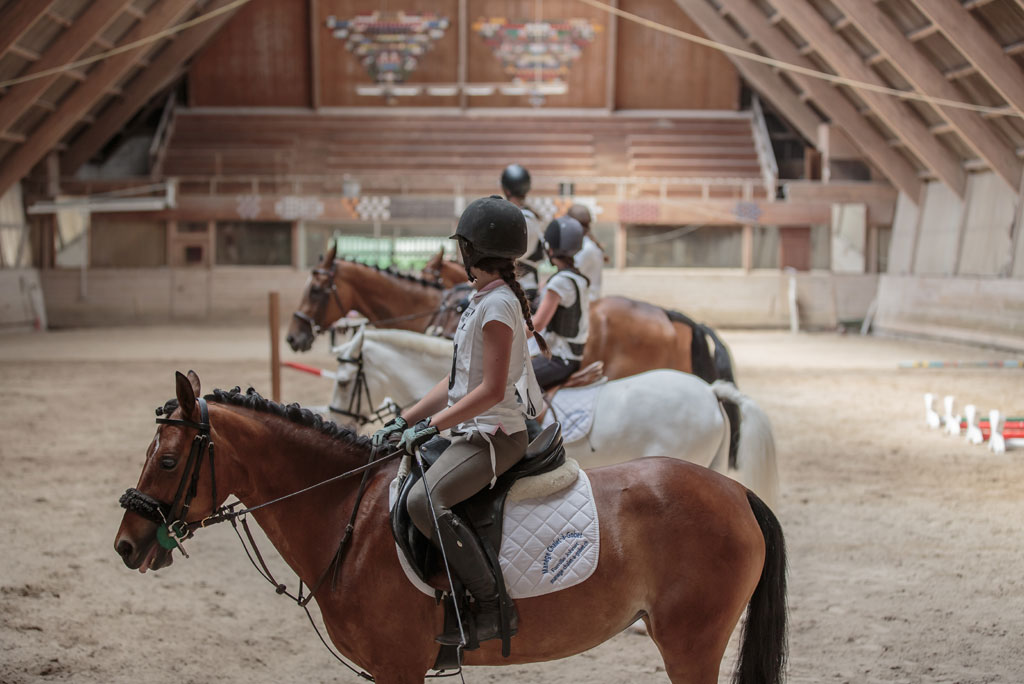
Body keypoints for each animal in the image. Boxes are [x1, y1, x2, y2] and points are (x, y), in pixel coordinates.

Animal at [114, 374, 782, 684]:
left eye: (167, 462)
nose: (126, 544)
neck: (346, 513)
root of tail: (735, 492)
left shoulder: (398, 666)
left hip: (692, 643)